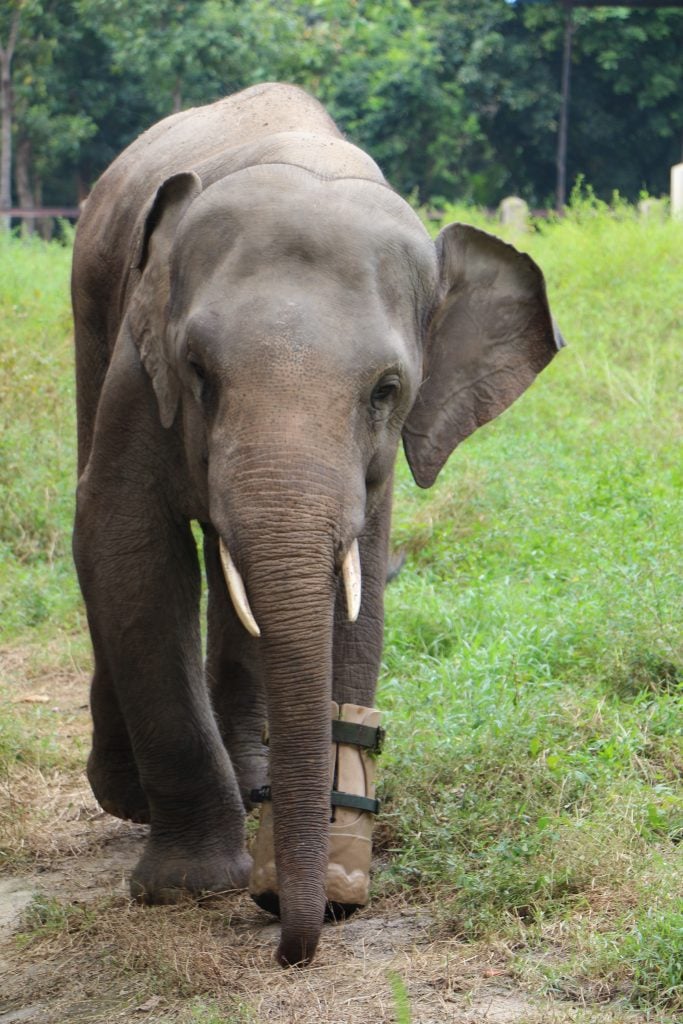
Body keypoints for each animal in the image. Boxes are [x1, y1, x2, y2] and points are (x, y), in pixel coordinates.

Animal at [71, 82, 563, 968]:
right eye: (198, 372)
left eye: (385, 390)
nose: (289, 944)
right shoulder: (139, 361)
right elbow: (124, 543)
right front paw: (191, 888)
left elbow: (355, 581)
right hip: (92, 310)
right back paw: (131, 799)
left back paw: (253, 776)